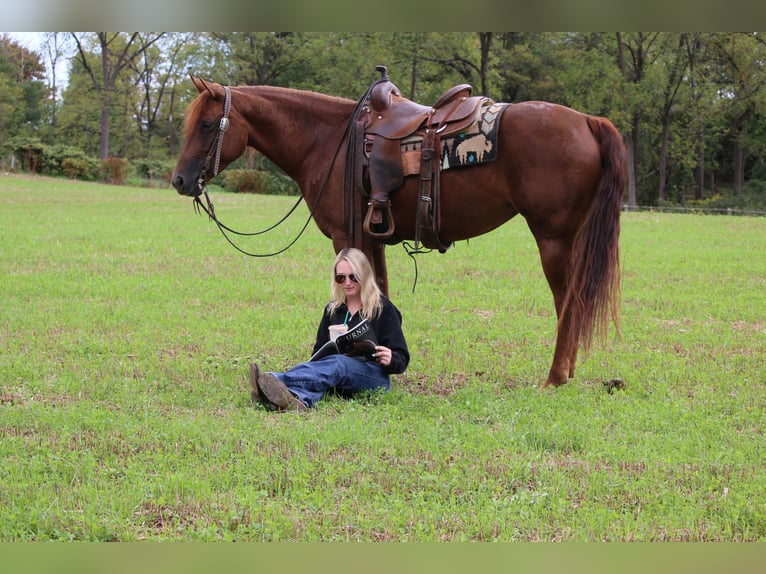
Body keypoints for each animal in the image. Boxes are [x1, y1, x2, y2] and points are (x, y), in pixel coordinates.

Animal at [171, 74, 626, 388]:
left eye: (208, 124)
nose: (179, 180)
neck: (328, 140)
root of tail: (586, 121)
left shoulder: (346, 237)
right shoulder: (373, 238)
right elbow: (381, 295)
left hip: (553, 239)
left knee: (568, 301)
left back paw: (556, 377)